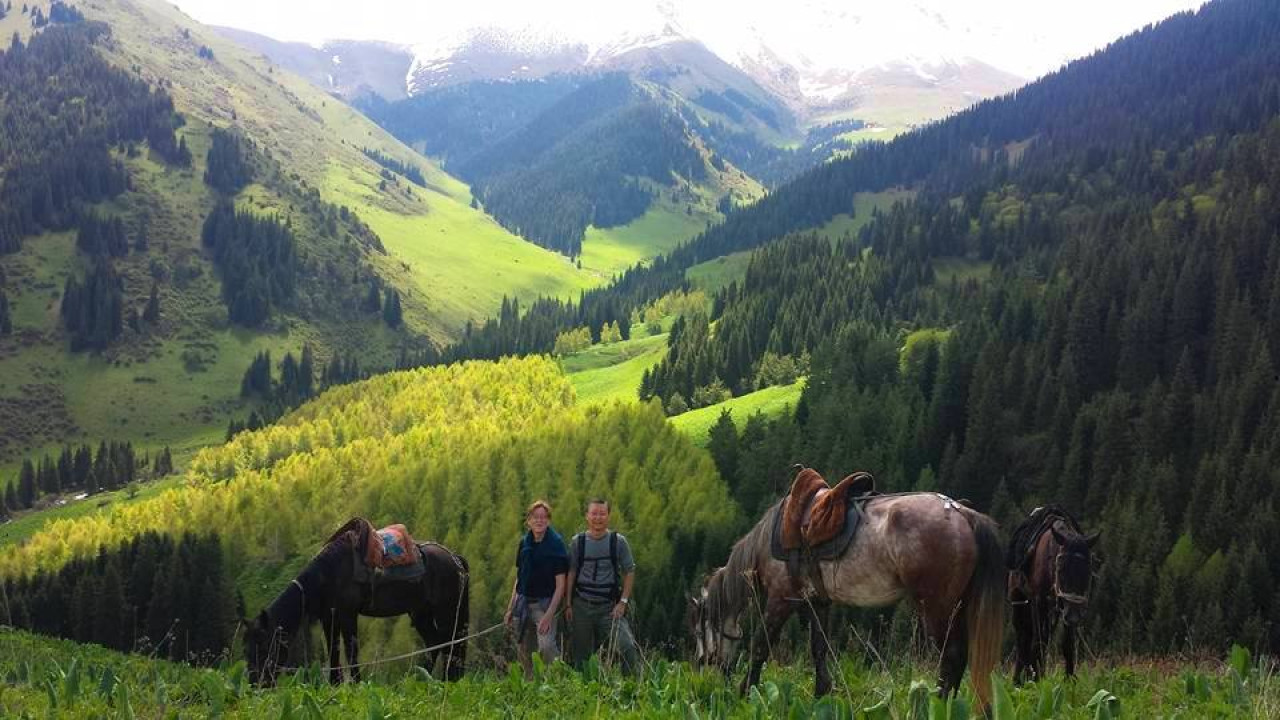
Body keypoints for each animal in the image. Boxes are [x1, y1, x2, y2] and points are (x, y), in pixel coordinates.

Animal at [240, 532, 471, 681]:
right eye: (246, 649)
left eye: (263, 645)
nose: (255, 683)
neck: (328, 573)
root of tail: (454, 558)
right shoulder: (329, 617)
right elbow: (333, 650)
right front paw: (335, 683)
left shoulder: (348, 614)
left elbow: (351, 651)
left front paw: (357, 683)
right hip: (421, 613)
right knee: (435, 642)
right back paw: (419, 679)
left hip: (446, 612)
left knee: (451, 642)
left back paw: (446, 679)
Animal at [686, 491, 1003, 707]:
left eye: (699, 632)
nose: (703, 669)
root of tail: (962, 514)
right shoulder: (817, 602)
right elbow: (819, 648)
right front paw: (821, 693)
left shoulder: (781, 598)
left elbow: (760, 646)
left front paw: (746, 692)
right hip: (957, 606)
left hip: (936, 607)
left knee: (951, 656)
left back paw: (938, 704)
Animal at [1008, 502, 1100, 681]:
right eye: (1061, 568)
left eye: (1088, 570)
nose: (1074, 616)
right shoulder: (1038, 602)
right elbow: (1040, 641)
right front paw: (1036, 678)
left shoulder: (1065, 609)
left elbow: (1067, 644)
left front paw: (1070, 679)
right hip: (1019, 601)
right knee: (1023, 637)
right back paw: (1018, 678)